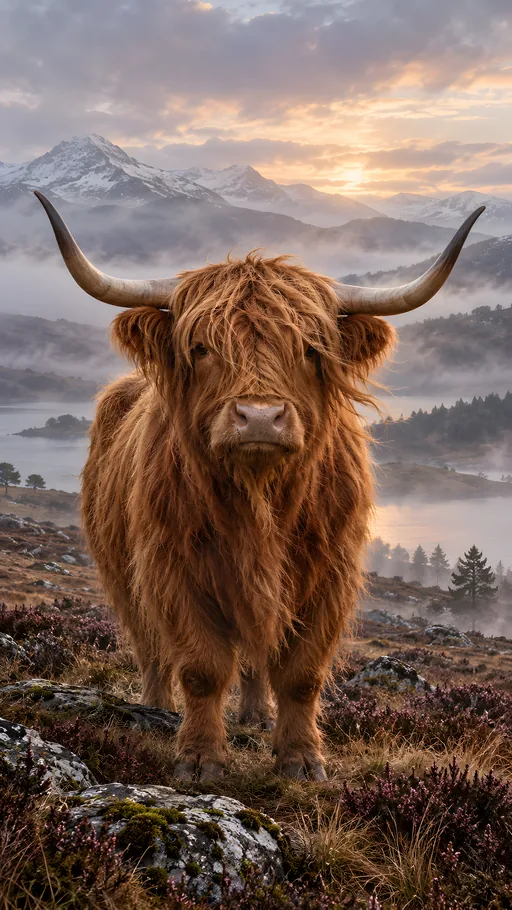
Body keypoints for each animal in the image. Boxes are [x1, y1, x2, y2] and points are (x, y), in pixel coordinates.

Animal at [35, 190, 483, 781]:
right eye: (202, 347)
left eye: (311, 350)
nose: (260, 418)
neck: (260, 500)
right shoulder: (174, 569)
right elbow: (201, 667)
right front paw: (200, 758)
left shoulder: (328, 574)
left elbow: (301, 673)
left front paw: (301, 758)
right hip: (123, 572)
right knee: (151, 647)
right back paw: (155, 707)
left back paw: (255, 714)